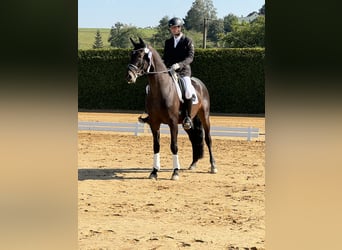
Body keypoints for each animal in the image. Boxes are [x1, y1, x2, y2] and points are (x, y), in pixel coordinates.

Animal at [125, 37, 216, 181]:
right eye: (131, 55)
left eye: (140, 56)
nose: (129, 76)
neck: (160, 89)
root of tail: (199, 83)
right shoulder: (154, 123)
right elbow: (156, 146)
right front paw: (154, 172)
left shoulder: (173, 123)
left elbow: (174, 146)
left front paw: (175, 172)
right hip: (188, 123)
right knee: (194, 139)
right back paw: (193, 164)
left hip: (204, 116)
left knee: (208, 139)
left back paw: (213, 166)